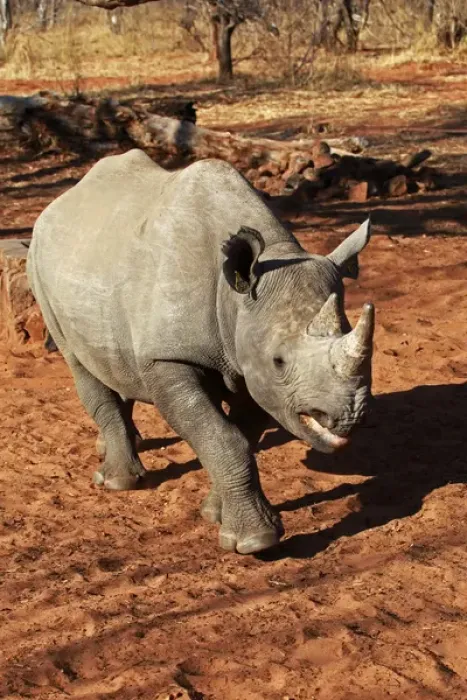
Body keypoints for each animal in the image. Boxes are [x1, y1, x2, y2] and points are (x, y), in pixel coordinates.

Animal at [27, 149, 375, 555]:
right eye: (279, 361)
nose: (349, 416)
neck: (236, 297)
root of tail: (59, 203)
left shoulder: (248, 361)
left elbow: (239, 435)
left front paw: (216, 515)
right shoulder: (168, 357)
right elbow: (222, 437)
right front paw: (255, 542)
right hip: (38, 265)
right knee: (78, 362)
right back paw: (117, 483)